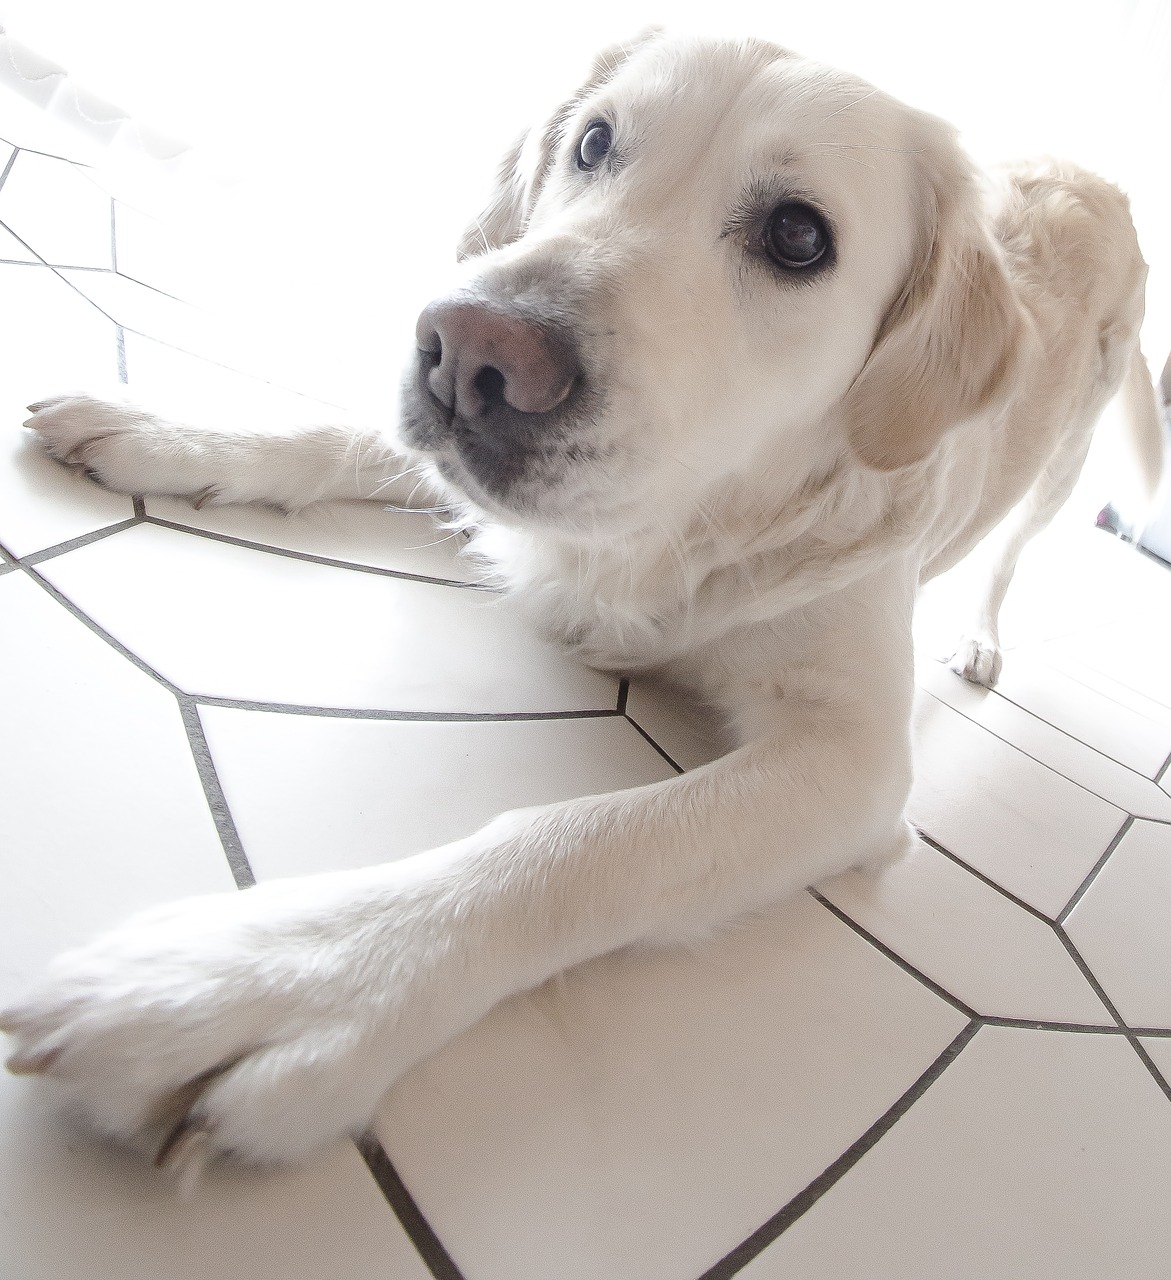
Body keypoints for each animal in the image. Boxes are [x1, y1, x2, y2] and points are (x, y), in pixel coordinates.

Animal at [2, 30, 1162, 1182]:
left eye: (798, 236)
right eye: (595, 142)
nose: (470, 351)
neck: (695, 517)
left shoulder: (854, 762)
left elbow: (584, 839)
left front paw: (286, 977)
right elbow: (334, 431)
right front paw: (175, 429)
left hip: (1057, 478)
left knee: (1006, 562)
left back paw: (977, 642)